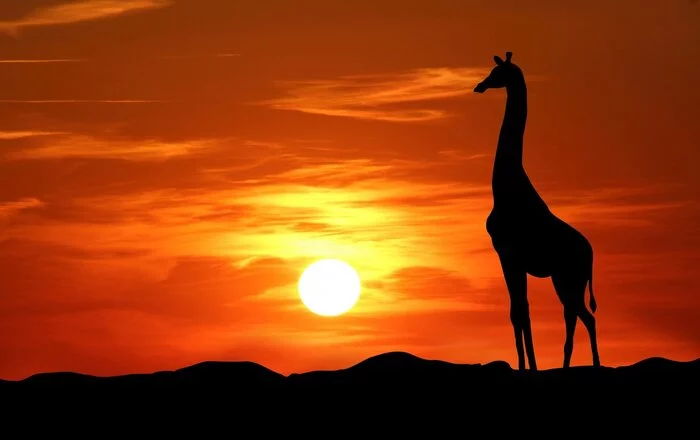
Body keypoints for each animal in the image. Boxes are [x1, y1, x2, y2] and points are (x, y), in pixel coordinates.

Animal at [473, 52, 601, 371]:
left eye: (497, 72)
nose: (480, 85)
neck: (505, 188)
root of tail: (591, 255)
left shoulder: (508, 254)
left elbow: (521, 311)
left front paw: (527, 366)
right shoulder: (509, 258)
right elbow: (517, 311)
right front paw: (526, 365)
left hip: (569, 278)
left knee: (580, 317)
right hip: (565, 280)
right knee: (582, 316)